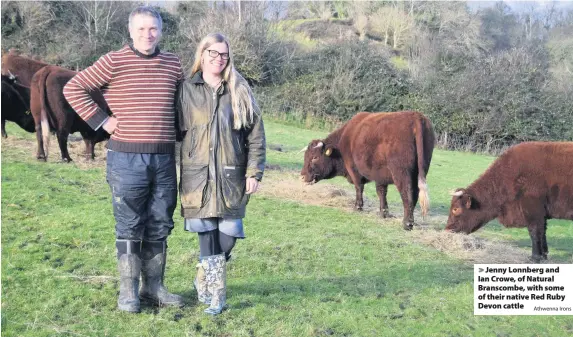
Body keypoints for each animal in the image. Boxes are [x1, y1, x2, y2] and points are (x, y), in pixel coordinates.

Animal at [300, 111, 434, 230]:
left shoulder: (353, 169)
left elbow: (359, 187)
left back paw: (407, 223)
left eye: (315, 157)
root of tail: (415, 116)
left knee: (408, 194)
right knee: (415, 193)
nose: (302, 176)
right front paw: (383, 213)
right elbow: (381, 192)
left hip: (401, 173)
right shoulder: (380, 175)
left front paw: (357, 207)